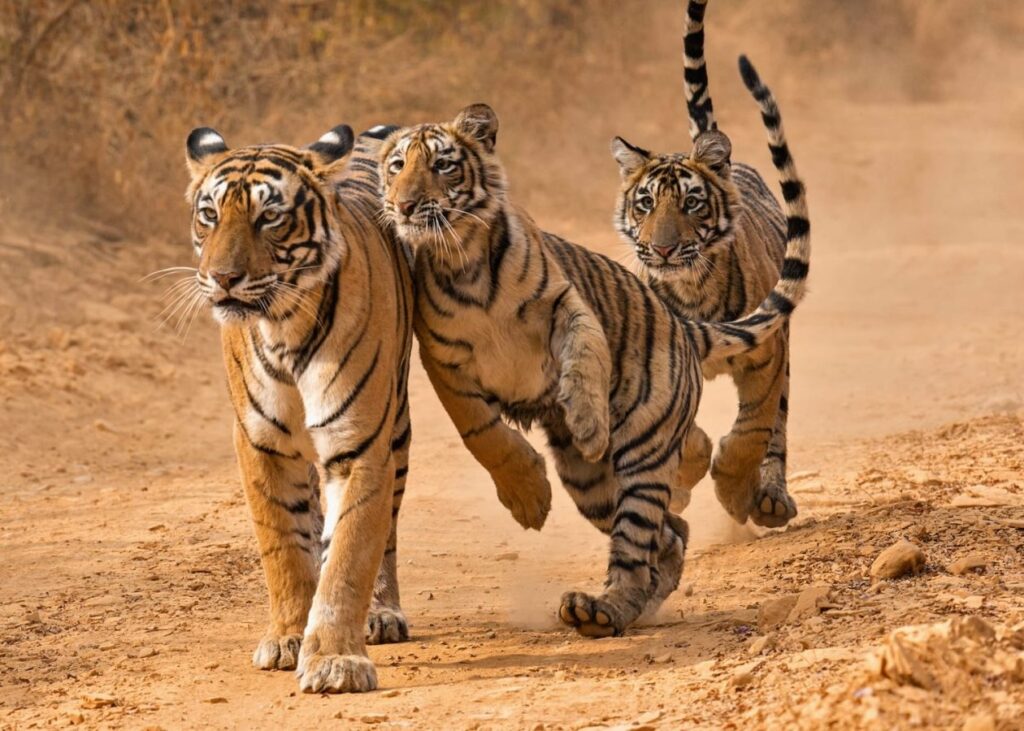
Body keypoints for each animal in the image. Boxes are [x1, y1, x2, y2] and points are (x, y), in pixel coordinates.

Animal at [182, 124, 418, 693]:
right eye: (209, 214)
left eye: (270, 217)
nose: (222, 277)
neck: (283, 326)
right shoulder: (261, 445)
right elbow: (285, 548)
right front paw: (289, 637)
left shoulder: (360, 445)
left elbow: (350, 555)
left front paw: (336, 660)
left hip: (396, 430)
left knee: (385, 534)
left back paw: (382, 613)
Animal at [377, 96, 809, 638]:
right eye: (397, 167)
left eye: (441, 165)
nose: (406, 205)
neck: (465, 260)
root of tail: (683, 326)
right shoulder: (442, 360)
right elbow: (481, 432)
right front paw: (528, 497)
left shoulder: (567, 302)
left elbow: (585, 353)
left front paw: (587, 422)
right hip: (592, 486)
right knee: (669, 535)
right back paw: (617, 606)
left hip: (643, 455)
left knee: (641, 538)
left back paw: (603, 608)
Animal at [610, 2, 805, 529]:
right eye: (645, 203)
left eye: (691, 203)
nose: (662, 250)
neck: (692, 288)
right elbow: (683, 436)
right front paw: (684, 479)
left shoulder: (767, 353)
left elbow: (751, 432)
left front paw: (735, 494)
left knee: (776, 427)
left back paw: (770, 499)